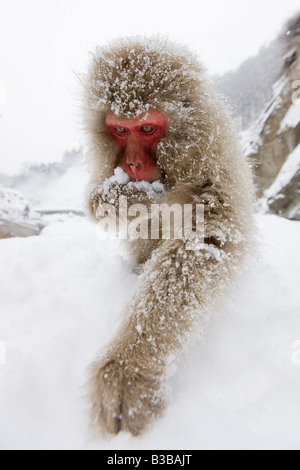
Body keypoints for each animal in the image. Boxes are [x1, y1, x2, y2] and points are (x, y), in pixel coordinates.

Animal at [83, 36, 254, 436]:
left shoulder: (209, 154)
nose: (131, 164)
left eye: (147, 129)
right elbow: (97, 200)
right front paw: (131, 196)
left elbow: (208, 237)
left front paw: (129, 367)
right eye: (120, 130)